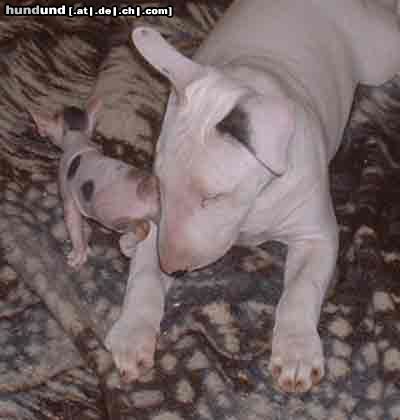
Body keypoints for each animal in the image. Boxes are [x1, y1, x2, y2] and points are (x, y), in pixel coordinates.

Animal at [29, 100, 170, 378]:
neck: (78, 140)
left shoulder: (68, 196)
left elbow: (73, 224)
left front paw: (78, 255)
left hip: (124, 217)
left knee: (140, 229)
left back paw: (127, 244)